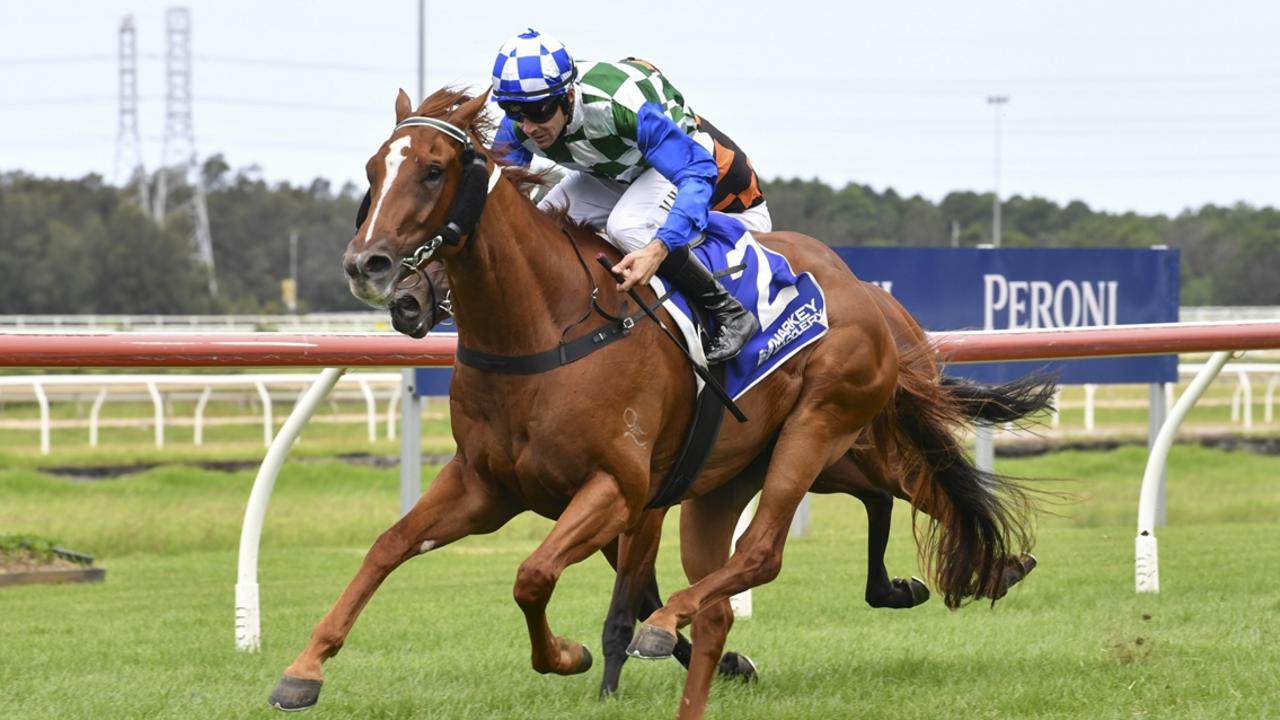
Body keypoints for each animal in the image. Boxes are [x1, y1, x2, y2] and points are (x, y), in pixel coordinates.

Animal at [267, 87, 1039, 712]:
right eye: (374, 171)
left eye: (432, 169)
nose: (370, 268)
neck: (544, 329)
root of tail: (871, 299)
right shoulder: (485, 485)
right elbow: (388, 546)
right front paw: (303, 669)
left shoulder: (619, 489)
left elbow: (535, 575)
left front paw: (570, 655)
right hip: (752, 472)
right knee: (844, 524)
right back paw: (975, 572)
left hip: (821, 427)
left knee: (767, 551)